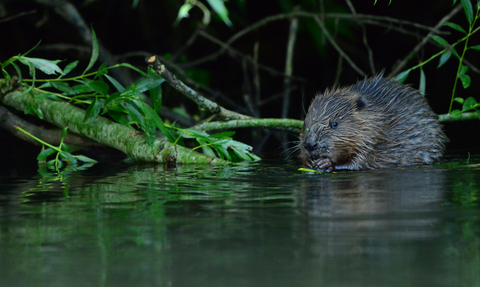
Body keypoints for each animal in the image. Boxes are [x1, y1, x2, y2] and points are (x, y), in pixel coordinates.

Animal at [300, 75, 446, 173]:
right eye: (305, 123)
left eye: (334, 124)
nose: (310, 144)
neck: (377, 119)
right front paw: (307, 162)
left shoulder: (372, 141)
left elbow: (360, 161)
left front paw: (325, 163)